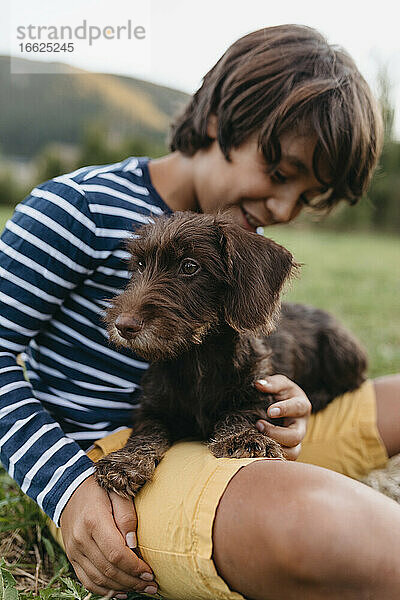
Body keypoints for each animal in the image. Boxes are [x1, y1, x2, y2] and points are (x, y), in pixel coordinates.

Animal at [93, 212, 366, 496]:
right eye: (140, 264)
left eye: (189, 266)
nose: (123, 326)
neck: (197, 357)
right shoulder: (152, 408)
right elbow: (147, 430)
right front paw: (126, 461)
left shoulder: (259, 389)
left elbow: (242, 412)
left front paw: (243, 438)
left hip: (340, 348)